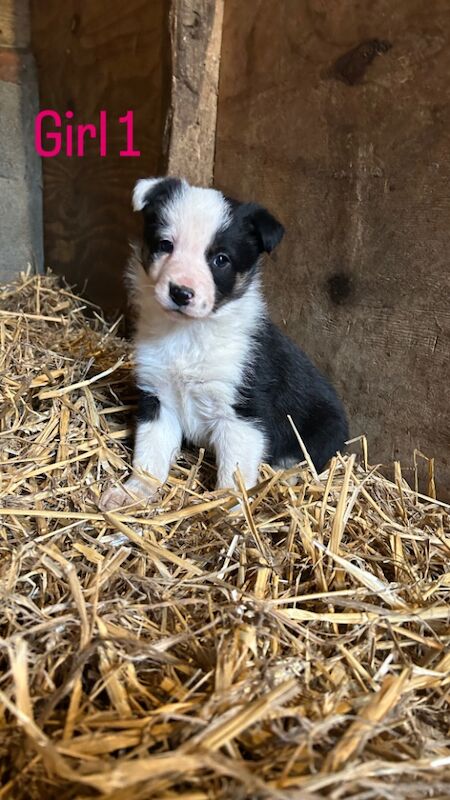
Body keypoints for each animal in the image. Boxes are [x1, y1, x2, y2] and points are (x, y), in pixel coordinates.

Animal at [100, 178, 348, 510]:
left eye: (221, 260)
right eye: (165, 245)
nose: (180, 292)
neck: (189, 335)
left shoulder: (242, 412)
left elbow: (235, 472)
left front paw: (226, 508)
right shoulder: (157, 398)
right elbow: (150, 456)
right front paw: (132, 492)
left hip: (323, 429)